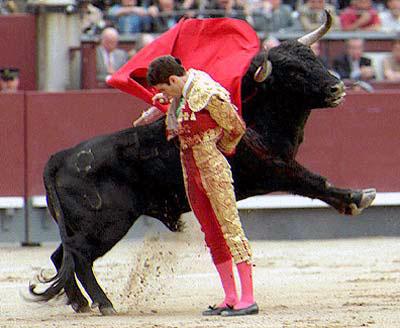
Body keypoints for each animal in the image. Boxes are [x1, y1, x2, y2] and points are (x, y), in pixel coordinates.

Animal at [28, 12, 376, 316]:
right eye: (293, 72)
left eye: (314, 59)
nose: (337, 87)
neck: (256, 113)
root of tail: (60, 157)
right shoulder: (275, 168)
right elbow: (314, 181)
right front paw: (356, 198)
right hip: (107, 223)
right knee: (80, 256)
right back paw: (103, 303)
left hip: (81, 224)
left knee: (63, 255)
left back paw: (80, 303)